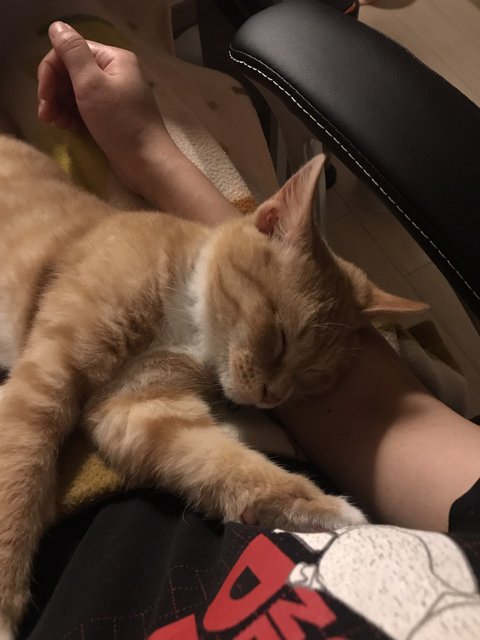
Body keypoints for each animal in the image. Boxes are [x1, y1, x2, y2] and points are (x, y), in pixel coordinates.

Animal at [0, 134, 426, 637]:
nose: (274, 395)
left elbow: (220, 461)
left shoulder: (141, 408)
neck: (185, 320)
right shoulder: (47, 376)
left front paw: (324, 510)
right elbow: (19, 471)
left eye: (313, 376)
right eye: (280, 338)